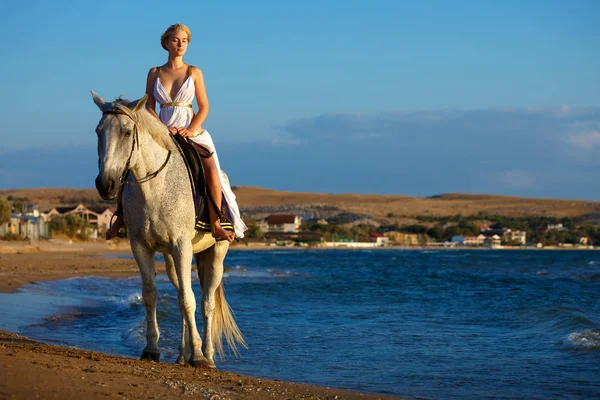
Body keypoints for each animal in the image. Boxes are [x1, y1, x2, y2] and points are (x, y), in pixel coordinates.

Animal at [92, 92, 246, 368]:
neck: (154, 187)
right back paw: (182, 355)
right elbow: (151, 295)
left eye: (127, 132)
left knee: (206, 301)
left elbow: (189, 300)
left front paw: (198, 355)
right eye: (98, 131)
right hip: (172, 259)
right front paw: (152, 349)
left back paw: (207, 355)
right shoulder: (140, 246)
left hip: (216, 253)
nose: (105, 184)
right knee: (180, 296)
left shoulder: (181, 245)